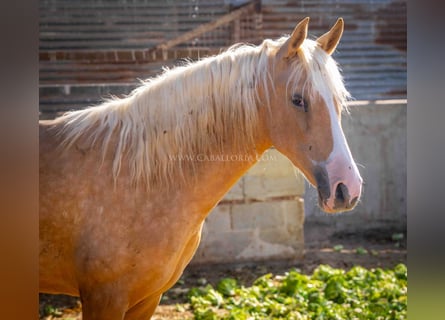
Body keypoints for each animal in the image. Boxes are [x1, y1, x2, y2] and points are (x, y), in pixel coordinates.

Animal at [40, 18, 360, 320]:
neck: (134, 177)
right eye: (298, 99)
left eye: (338, 100)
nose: (347, 188)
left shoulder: (146, 300)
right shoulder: (105, 298)